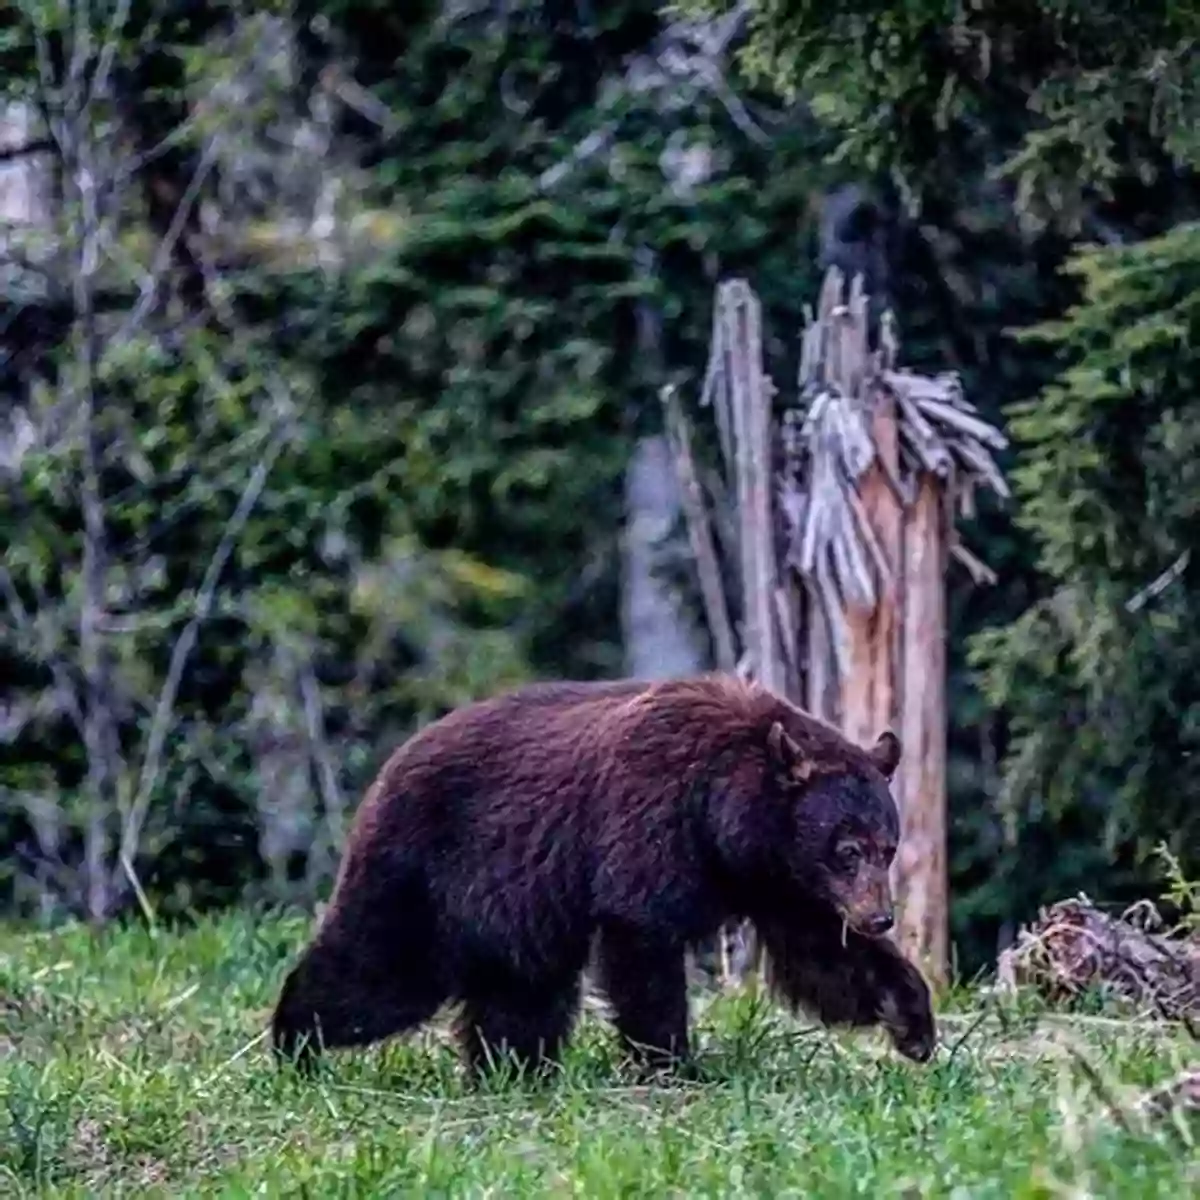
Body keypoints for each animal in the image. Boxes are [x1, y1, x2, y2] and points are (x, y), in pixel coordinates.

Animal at [272, 676, 936, 1080]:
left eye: (887, 847)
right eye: (846, 849)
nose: (880, 916)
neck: (723, 813)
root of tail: (387, 769)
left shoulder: (777, 881)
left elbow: (824, 954)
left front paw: (913, 1023)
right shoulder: (652, 821)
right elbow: (643, 939)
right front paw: (673, 1060)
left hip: (514, 907)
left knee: (521, 990)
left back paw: (512, 1068)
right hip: (426, 868)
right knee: (381, 968)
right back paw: (293, 1041)